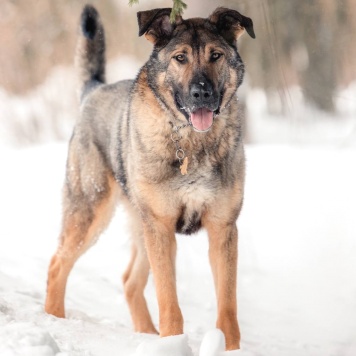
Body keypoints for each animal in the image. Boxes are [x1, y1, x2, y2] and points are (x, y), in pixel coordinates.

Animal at [46, 4, 254, 350]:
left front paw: (230, 350)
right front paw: (173, 342)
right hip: (93, 212)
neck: (190, 142)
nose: (201, 93)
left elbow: (228, 307)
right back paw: (54, 320)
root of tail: (93, 90)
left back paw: (145, 335)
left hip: (141, 225)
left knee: (130, 281)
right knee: (57, 264)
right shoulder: (161, 226)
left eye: (216, 56)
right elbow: (169, 300)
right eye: (180, 58)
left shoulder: (222, 228)